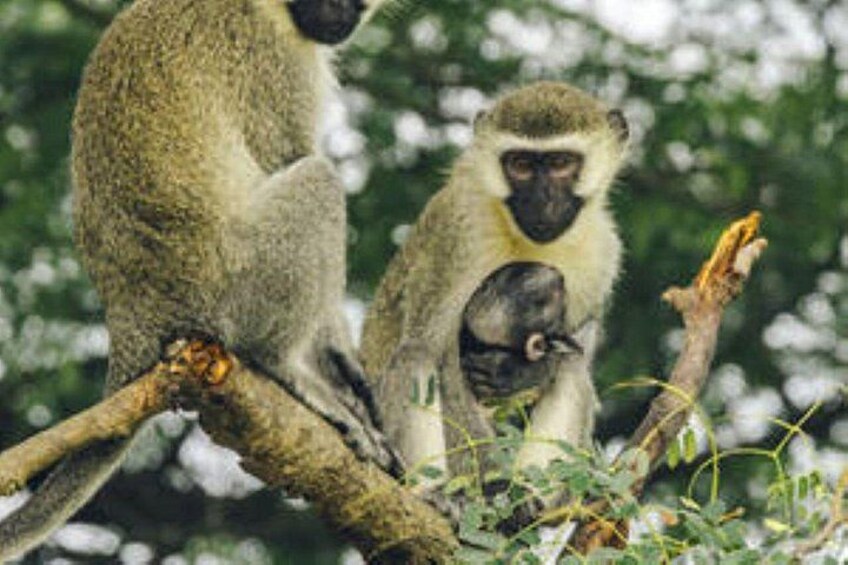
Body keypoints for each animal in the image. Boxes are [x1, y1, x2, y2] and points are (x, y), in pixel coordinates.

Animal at [0, 0, 388, 558]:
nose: (342, 18)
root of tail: (132, 315)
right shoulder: (274, 61)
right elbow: (287, 154)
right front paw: (335, 353)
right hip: (238, 284)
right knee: (318, 181)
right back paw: (285, 368)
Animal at [360, 82, 628, 507]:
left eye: (560, 163)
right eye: (519, 164)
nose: (541, 201)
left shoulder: (604, 253)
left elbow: (574, 352)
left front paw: (521, 372)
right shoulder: (458, 229)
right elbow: (436, 349)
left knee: (572, 373)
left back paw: (526, 505)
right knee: (414, 356)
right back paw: (439, 493)